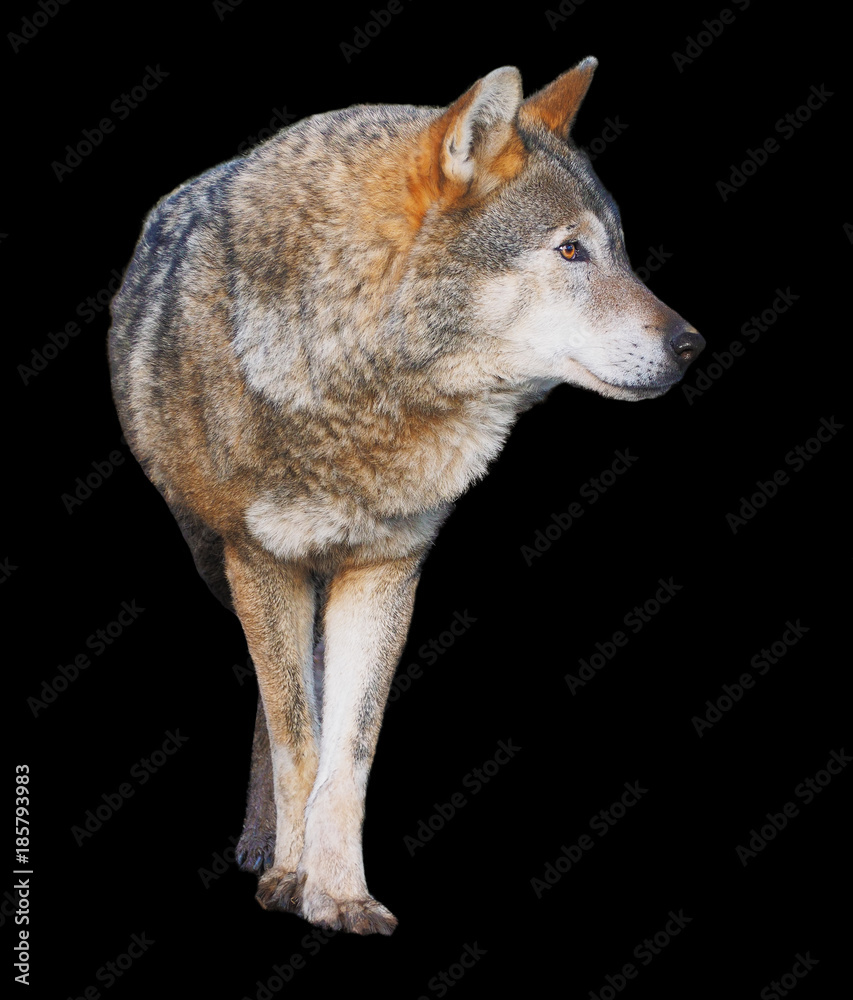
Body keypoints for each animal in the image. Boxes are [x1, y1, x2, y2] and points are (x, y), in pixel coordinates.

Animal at [108, 58, 704, 935]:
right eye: (570, 250)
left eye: (620, 253)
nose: (691, 345)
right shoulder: (263, 565)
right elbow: (298, 741)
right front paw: (290, 879)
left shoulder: (388, 572)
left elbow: (347, 754)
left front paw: (339, 894)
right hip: (219, 568)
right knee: (271, 701)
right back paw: (262, 845)